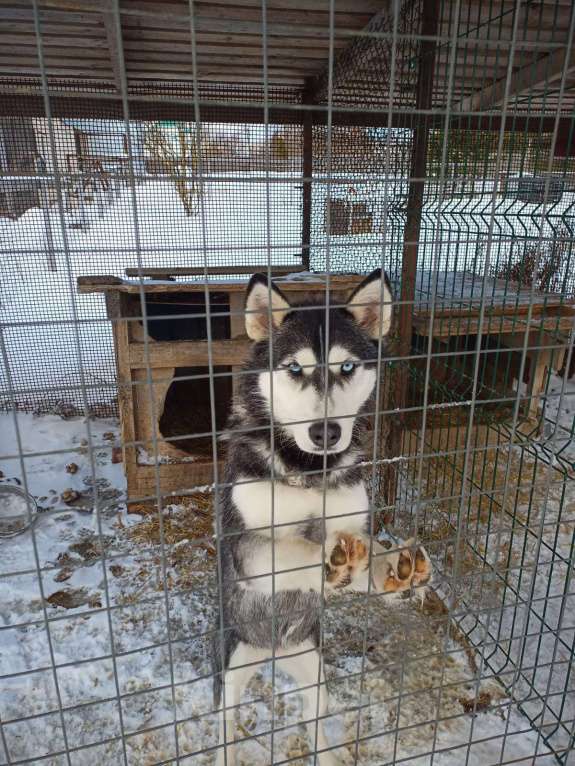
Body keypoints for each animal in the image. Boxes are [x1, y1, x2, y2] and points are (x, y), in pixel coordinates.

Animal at [214, 268, 430, 760]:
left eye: (346, 367)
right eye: (294, 368)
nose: (325, 431)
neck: (310, 471)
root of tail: (272, 653)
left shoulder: (353, 518)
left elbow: (367, 550)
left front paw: (394, 565)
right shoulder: (248, 548)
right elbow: (293, 547)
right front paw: (329, 558)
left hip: (315, 672)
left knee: (313, 720)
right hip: (230, 670)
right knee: (227, 725)